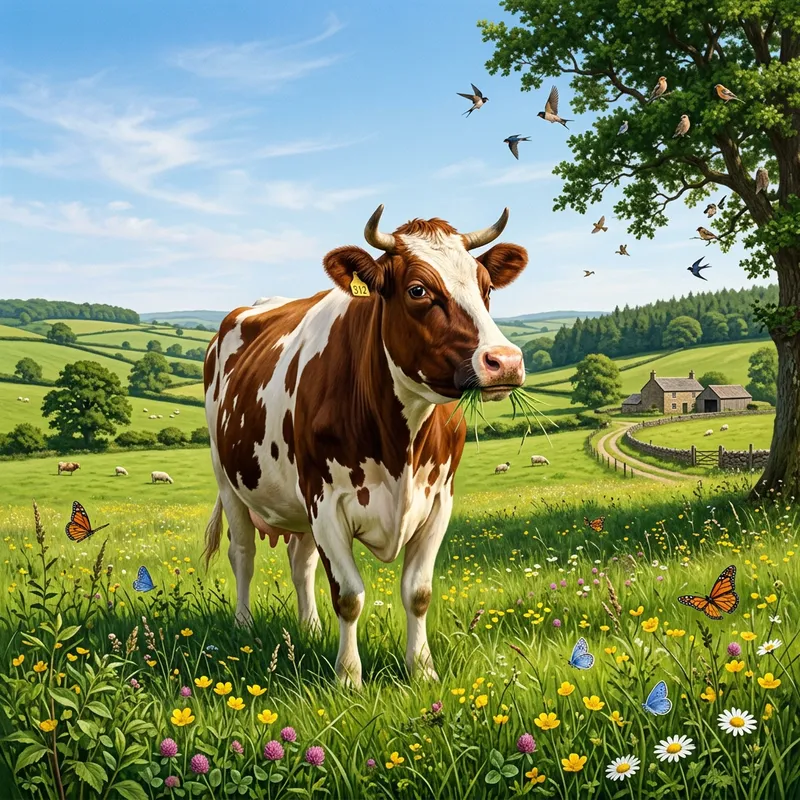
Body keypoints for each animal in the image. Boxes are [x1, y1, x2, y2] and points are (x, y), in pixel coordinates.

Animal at [203, 205, 527, 687]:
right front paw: (348, 678)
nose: (504, 361)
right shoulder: (325, 501)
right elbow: (350, 595)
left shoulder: (439, 501)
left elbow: (418, 592)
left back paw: (310, 628)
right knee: (243, 554)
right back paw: (244, 629)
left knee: (301, 561)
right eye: (418, 289)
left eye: (486, 287)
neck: (399, 445)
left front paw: (422, 670)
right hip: (230, 480)